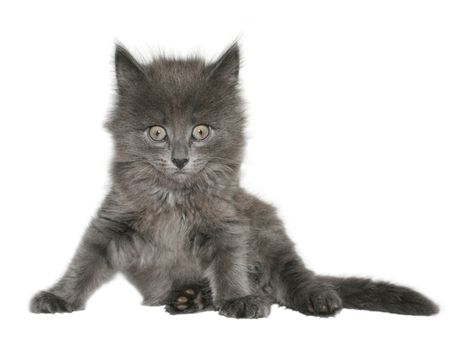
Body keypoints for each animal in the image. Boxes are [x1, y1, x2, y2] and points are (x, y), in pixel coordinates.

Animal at [29, 43, 438, 318]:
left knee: (292, 276)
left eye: (201, 131)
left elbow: (229, 262)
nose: (180, 159)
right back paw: (189, 297)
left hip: (271, 236)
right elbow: (84, 262)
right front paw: (60, 296)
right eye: (157, 132)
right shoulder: (112, 222)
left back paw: (316, 297)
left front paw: (238, 299)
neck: (174, 197)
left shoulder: (228, 224)